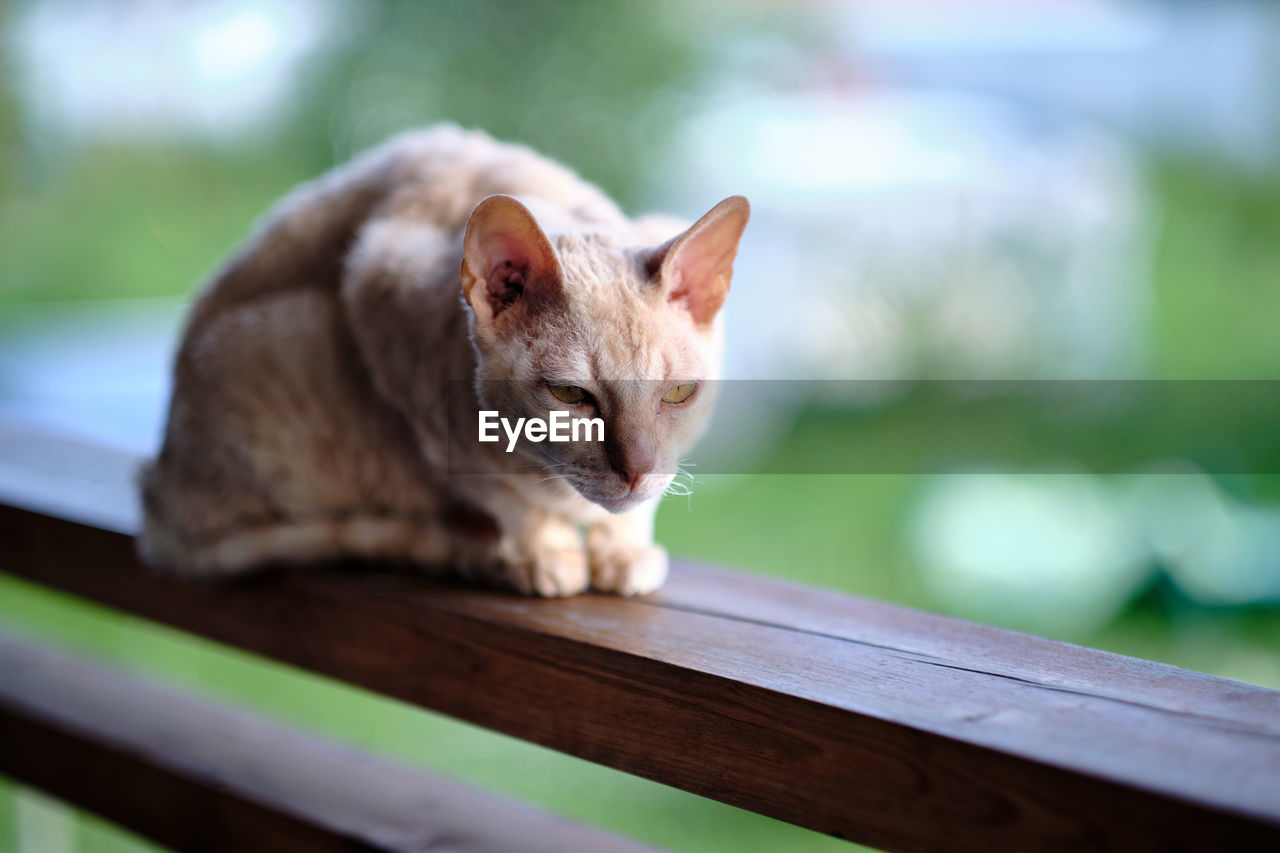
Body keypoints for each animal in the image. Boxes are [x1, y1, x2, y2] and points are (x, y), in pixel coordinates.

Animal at [137, 124, 747, 596]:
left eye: (679, 394)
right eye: (571, 395)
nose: (637, 469)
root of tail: (158, 492)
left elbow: (639, 511)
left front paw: (623, 555)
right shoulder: (385, 320)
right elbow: (504, 497)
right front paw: (545, 556)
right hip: (284, 342)